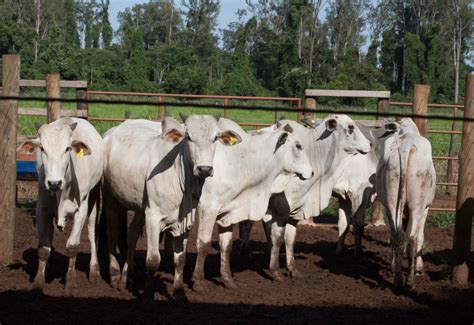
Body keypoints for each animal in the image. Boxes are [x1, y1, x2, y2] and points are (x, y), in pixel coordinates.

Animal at [104, 114, 244, 298]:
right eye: (189, 137)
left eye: (215, 138)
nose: (204, 169)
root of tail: (111, 132)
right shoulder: (153, 217)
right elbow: (153, 259)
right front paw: (148, 295)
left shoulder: (185, 221)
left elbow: (180, 259)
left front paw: (179, 292)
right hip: (111, 198)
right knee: (112, 235)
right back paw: (115, 275)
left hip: (140, 207)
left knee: (132, 235)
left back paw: (128, 277)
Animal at [191, 117, 312, 288]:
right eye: (298, 146)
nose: (311, 172)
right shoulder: (207, 208)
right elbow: (203, 243)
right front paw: (198, 281)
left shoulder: (228, 212)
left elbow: (226, 245)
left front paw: (228, 280)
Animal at [376, 117, 436, 286]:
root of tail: (406, 146)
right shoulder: (426, 208)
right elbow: (421, 236)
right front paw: (419, 268)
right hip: (418, 206)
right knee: (413, 237)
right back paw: (410, 279)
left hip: (392, 201)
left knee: (397, 235)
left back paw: (398, 278)